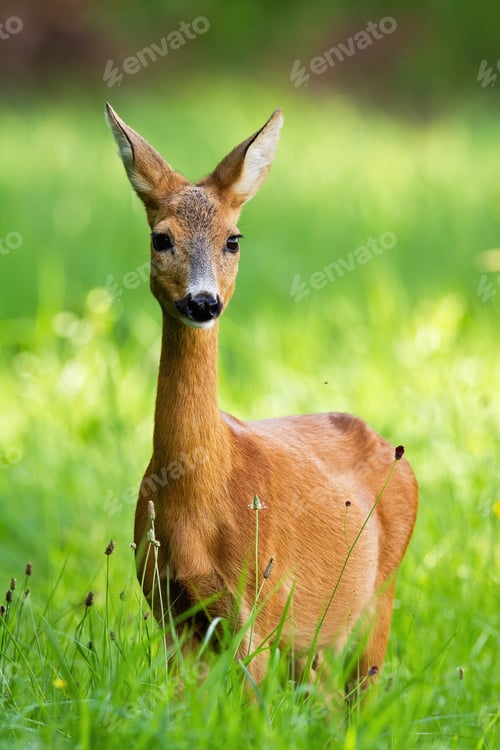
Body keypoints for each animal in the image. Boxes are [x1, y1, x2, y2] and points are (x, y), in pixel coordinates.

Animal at [105, 103, 418, 696]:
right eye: (161, 238)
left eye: (233, 239)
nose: (203, 302)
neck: (201, 497)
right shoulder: (171, 609)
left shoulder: (258, 607)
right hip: (312, 642)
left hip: (380, 600)